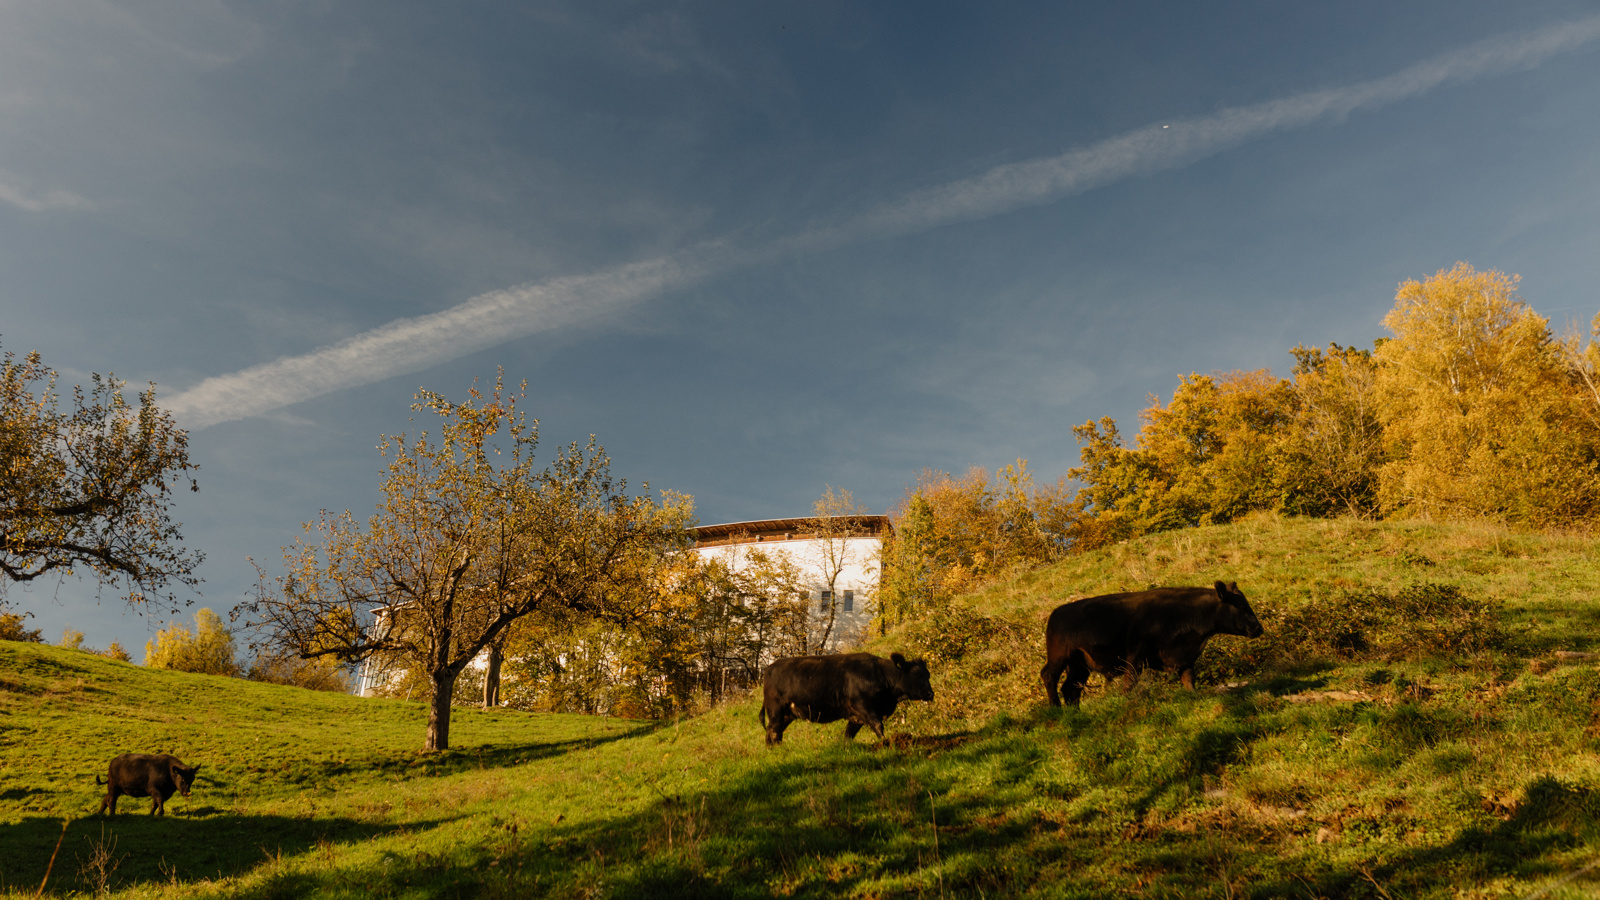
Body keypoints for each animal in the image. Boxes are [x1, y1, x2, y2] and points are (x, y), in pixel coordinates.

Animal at [761, 650, 934, 743]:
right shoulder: (862, 705)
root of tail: (769, 668)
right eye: (918, 674)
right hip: (776, 710)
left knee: (774, 732)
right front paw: (885, 742)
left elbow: (849, 734)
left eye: (928, 674)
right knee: (773, 730)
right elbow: (877, 725)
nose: (930, 694)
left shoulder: (856, 716)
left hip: (787, 714)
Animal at [1043, 576, 1267, 704]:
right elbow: (1129, 682)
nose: (1258, 628)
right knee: (1049, 677)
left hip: (1080, 666)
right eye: (1240, 604)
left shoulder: (1184, 659)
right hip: (1059, 657)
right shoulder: (1135, 656)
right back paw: (1055, 708)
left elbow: (1189, 680)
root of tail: (1055, 613)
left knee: (1071, 689)